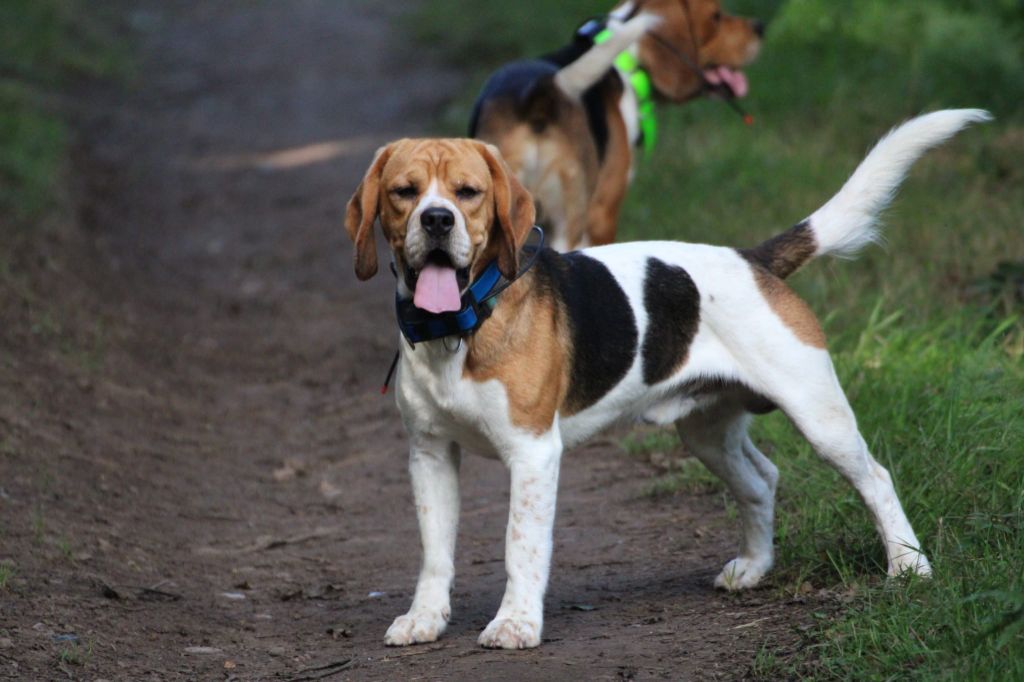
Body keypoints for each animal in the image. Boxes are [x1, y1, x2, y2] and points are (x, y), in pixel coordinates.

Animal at [346, 109, 991, 647]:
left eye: (468, 193)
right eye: (404, 192)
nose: (436, 220)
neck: (459, 326)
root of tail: (752, 259)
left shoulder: (532, 453)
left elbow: (520, 545)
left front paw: (516, 625)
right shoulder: (430, 455)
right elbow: (435, 553)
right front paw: (425, 620)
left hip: (820, 416)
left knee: (876, 479)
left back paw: (909, 568)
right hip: (706, 432)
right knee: (761, 479)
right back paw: (755, 568)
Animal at [468, 0, 761, 249]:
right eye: (716, 16)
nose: (759, 27)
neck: (627, 63)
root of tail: (539, 94)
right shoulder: (604, 212)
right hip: (568, 222)